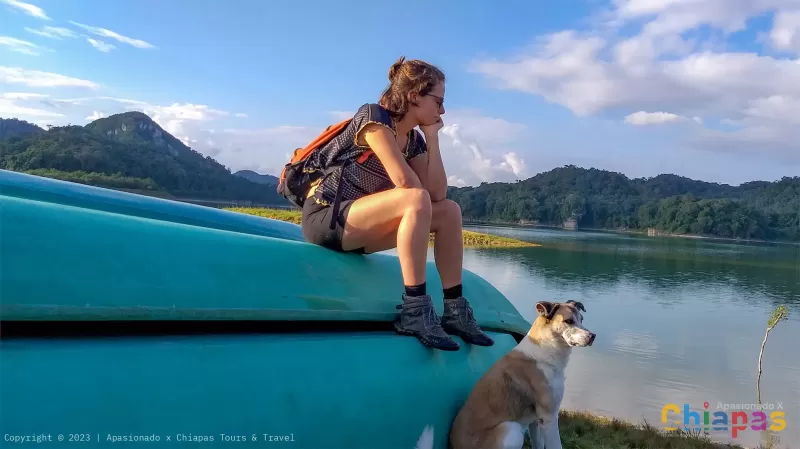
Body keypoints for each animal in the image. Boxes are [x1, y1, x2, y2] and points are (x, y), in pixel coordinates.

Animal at [446, 300, 596, 446]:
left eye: (581, 319)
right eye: (569, 321)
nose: (592, 336)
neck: (545, 350)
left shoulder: (536, 420)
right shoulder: (549, 417)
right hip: (511, 428)